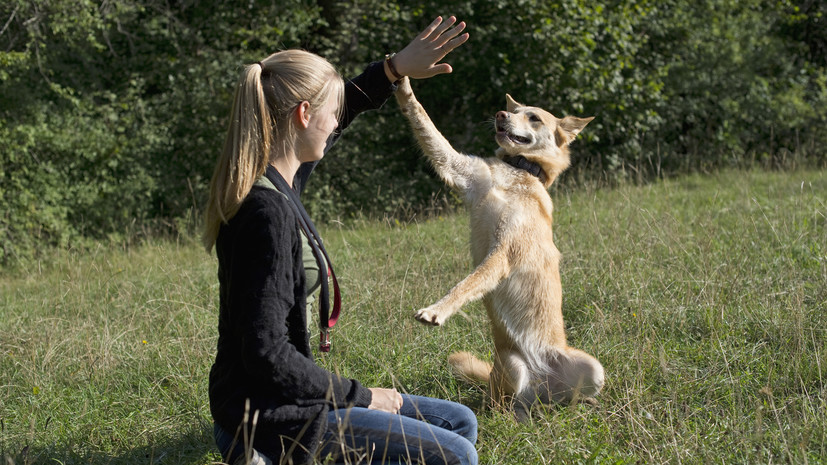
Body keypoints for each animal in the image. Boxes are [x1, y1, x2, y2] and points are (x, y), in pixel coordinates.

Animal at [398, 78, 604, 418]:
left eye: (534, 117)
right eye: (515, 110)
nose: (500, 114)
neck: (518, 172)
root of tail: (543, 389)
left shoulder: (505, 251)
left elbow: (466, 284)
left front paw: (436, 310)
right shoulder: (458, 169)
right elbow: (424, 122)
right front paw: (401, 83)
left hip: (593, 370)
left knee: (563, 399)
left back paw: (579, 404)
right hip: (513, 367)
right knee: (505, 404)